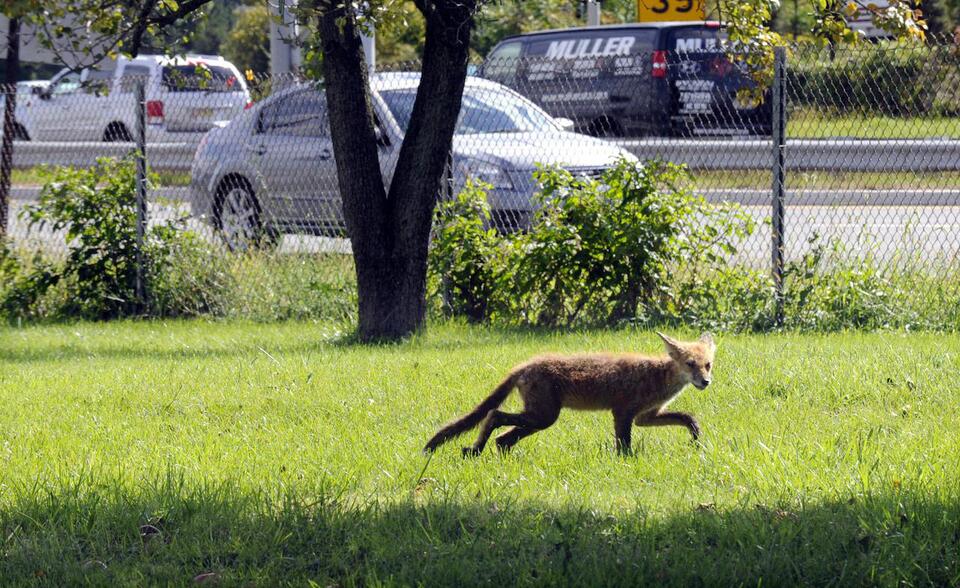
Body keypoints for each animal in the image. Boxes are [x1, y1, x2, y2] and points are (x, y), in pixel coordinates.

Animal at [423, 332, 716, 456]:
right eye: (690, 364)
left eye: (707, 364)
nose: (705, 382)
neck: (658, 378)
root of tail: (524, 365)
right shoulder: (623, 413)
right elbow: (624, 446)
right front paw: (626, 462)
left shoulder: (645, 417)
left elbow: (688, 418)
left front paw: (696, 440)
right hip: (543, 417)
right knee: (494, 415)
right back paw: (476, 449)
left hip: (538, 419)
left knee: (503, 438)